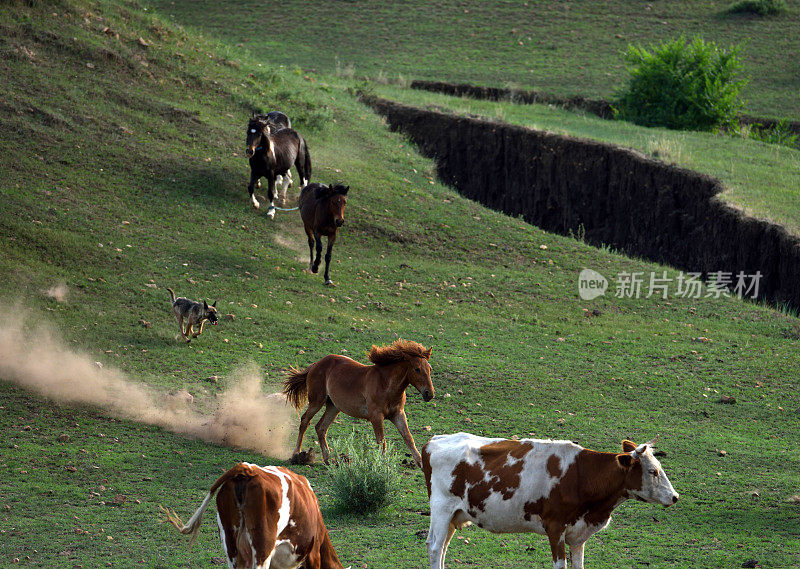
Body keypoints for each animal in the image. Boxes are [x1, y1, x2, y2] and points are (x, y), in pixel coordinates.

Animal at [422, 432, 680, 564]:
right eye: (652, 471)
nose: (675, 497)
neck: (581, 475)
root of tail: (435, 440)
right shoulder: (555, 528)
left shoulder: (578, 536)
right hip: (442, 509)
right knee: (435, 546)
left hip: (455, 515)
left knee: (443, 547)